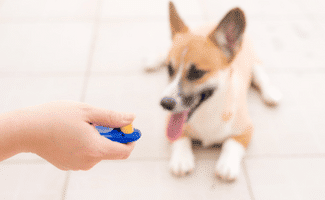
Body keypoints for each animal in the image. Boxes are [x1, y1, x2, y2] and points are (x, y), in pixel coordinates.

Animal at [146, 1, 280, 180]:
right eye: (170, 69)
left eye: (197, 73)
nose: (165, 104)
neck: (206, 111)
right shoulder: (170, 123)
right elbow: (180, 139)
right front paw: (182, 159)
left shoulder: (246, 130)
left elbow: (232, 144)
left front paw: (227, 165)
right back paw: (151, 61)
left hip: (255, 64)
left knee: (261, 77)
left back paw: (271, 93)